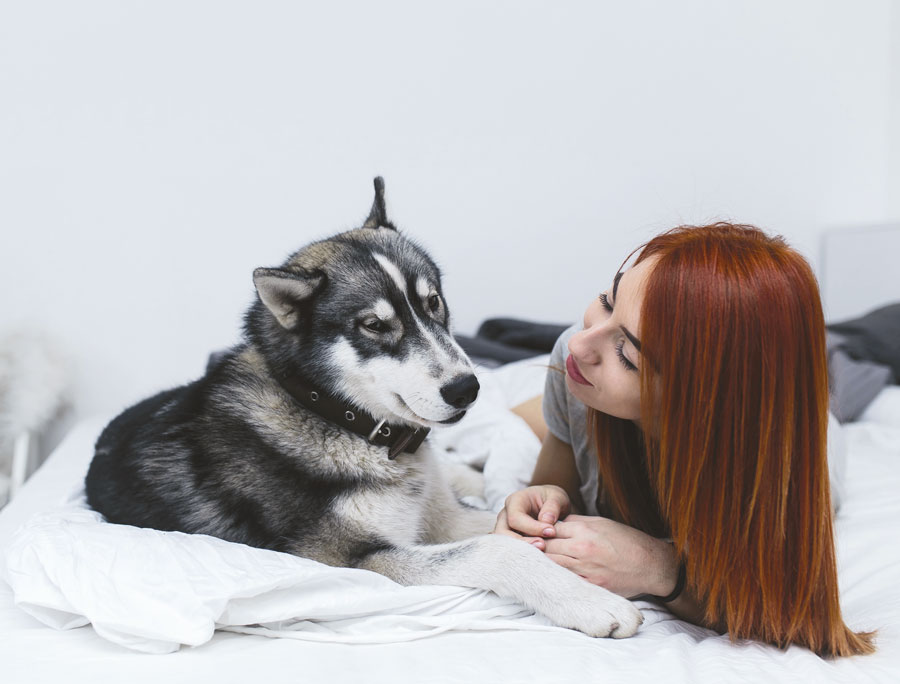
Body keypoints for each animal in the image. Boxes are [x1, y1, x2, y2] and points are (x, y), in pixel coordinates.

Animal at [86, 179, 640, 640]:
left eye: (434, 303)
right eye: (374, 326)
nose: (467, 388)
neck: (341, 419)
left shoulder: (439, 520)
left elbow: (505, 524)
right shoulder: (354, 560)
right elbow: (500, 547)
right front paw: (591, 602)